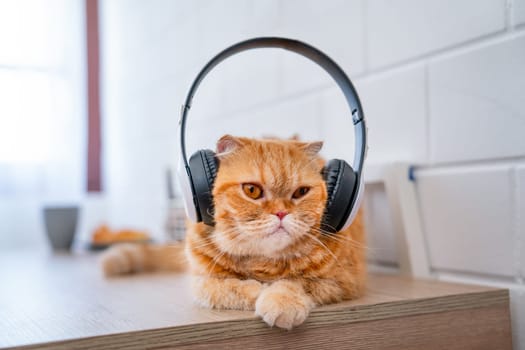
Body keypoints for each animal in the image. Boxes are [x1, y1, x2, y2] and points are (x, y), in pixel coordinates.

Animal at [101, 134, 364, 328]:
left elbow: (296, 282)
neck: (262, 262)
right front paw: (258, 291)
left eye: (301, 192)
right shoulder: (200, 281)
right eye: (252, 190)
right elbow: (226, 289)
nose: (281, 213)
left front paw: (281, 300)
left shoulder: (342, 282)